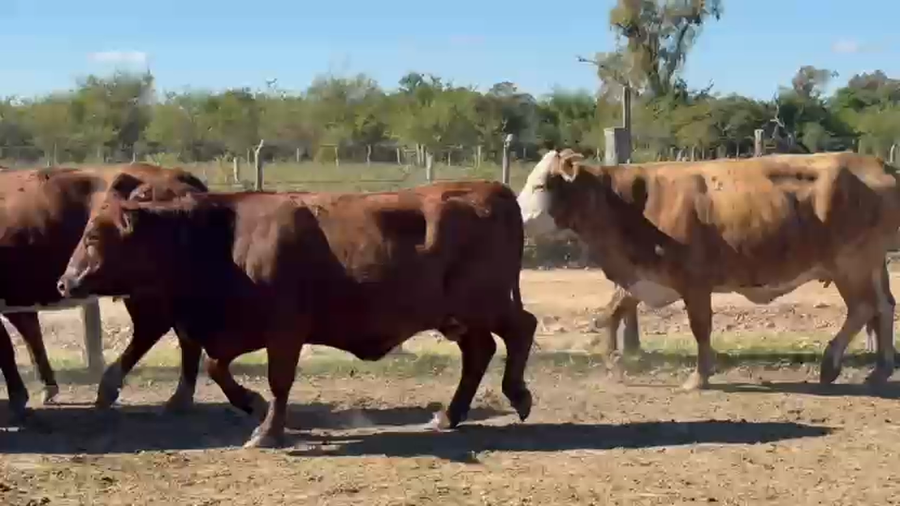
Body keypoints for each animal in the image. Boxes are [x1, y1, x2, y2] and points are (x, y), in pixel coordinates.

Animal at [0, 163, 208, 419]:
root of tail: (180, 175)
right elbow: (29, 334)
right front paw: (45, 388)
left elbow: (6, 344)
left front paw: (18, 397)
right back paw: (180, 397)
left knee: (153, 327)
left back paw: (112, 387)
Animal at [56, 181, 538, 448]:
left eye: (93, 237)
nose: (64, 283)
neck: (220, 238)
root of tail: (491, 190)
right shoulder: (237, 330)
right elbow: (216, 365)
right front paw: (250, 403)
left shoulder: (284, 332)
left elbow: (279, 381)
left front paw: (267, 431)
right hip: (459, 318)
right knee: (480, 352)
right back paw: (449, 416)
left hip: (485, 304)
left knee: (521, 329)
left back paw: (517, 394)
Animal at [516, 149, 900, 390]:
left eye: (540, 185)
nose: (515, 216)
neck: (631, 203)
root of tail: (875, 163)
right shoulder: (643, 276)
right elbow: (610, 314)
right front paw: (612, 365)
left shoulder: (694, 282)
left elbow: (700, 328)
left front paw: (699, 377)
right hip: (872, 264)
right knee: (883, 307)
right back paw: (880, 370)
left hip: (850, 263)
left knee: (863, 307)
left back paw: (831, 363)